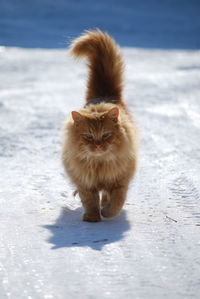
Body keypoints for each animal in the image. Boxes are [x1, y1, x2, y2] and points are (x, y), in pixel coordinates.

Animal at [62, 29, 138, 223]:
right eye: (88, 136)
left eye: (105, 135)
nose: (97, 146)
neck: (99, 165)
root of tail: (104, 96)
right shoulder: (86, 183)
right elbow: (89, 201)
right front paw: (92, 217)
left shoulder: (120, 181)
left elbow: (116, 202)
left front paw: (106, 213)